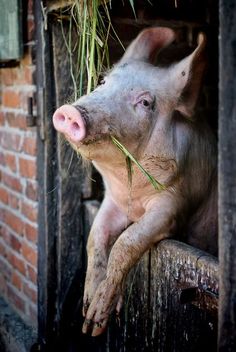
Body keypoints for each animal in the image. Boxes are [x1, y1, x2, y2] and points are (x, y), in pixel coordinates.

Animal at [52, 26, 217, 336]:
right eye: (103, 80)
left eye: (145, 103)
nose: (70, 112)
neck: (132, 196)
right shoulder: (111, 200)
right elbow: (95, 236)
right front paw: (87, 310)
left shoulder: (174, 205)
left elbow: (127, 242)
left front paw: (95, 324)